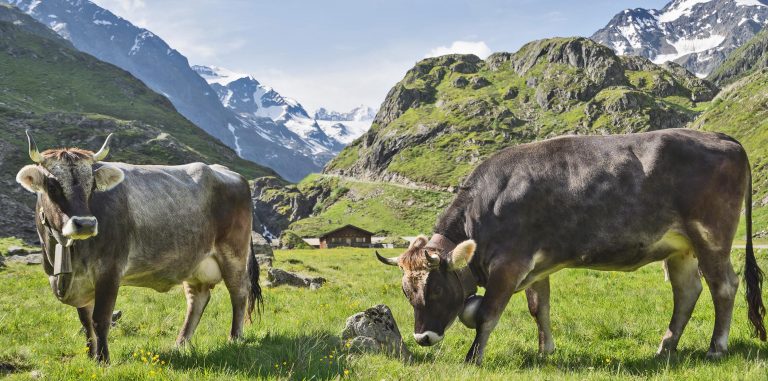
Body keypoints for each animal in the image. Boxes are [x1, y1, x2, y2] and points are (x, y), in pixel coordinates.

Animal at [14, 131, 260, 362]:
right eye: (52, 185)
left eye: (92, 185)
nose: (86, 223)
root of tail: (227, 172)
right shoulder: (81, 282)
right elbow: (86, 322)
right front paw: (91, 356)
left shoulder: (109, 271)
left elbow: (100, 320)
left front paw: (103, 361)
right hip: (194, 262)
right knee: (197, 299)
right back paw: (180, 343)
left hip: (234, 254)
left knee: (239, 293)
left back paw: (234, 338)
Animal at [380, 128, 768, 366]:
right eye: (406, 293)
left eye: (437, 289)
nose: (422, 337)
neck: (489, 206)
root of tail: (719, 136)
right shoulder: (535, 265)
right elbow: (540, 308)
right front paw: (545, 351)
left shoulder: (509, 264)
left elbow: (485, 313)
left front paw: (473, 357)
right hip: (680, 247)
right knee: (687, 292)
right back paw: (665, 347)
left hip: (712, 237)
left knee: (724, 286)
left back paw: (716, 348)